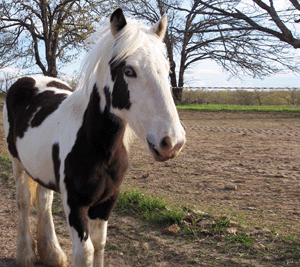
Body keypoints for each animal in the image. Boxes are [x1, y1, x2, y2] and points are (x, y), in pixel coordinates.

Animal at [2, 8, 185, 267]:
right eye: (129, 71)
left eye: (167, 71)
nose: (172, 142)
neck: (97, 146)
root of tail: (30, 79)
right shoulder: (75, 203)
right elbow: (85, 251)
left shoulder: (106, 202)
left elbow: (99, 244)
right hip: (16, 162)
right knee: (24, 201)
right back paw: (26, 254)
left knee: (44, 202)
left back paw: (52, 254)